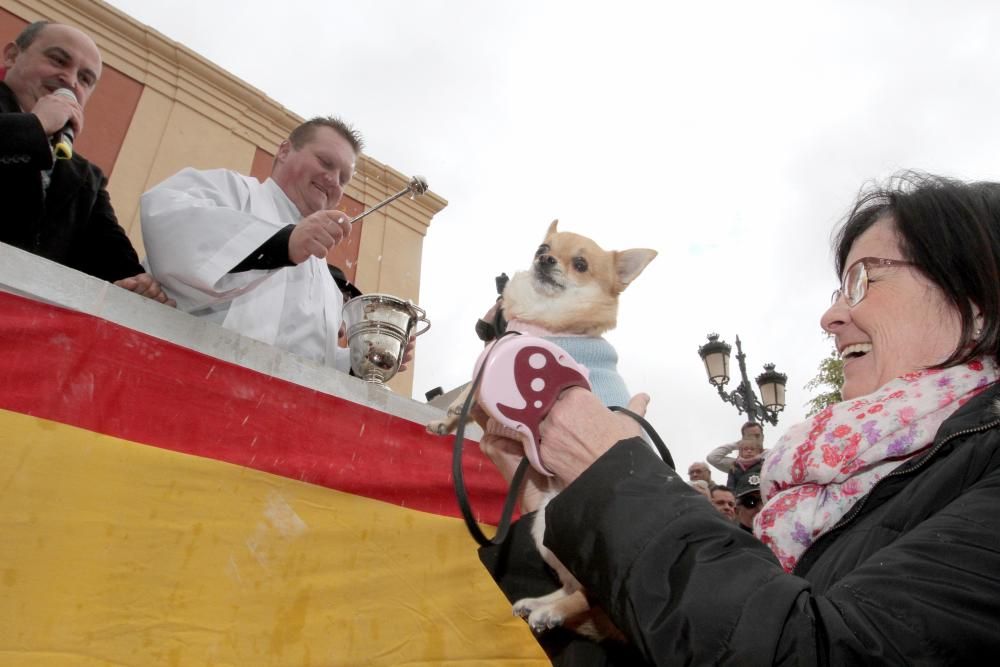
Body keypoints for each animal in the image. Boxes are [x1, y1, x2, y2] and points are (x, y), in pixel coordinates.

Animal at [428, 220, 656, 640]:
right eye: (542, 248)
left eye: (580, 264)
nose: (545, 260)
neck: (541, 317)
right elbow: (465, 400)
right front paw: (443, 422)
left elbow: (467, 393)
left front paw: (450, 413)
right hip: (546, 527)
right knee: (573, 585)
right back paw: (540, 603)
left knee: (588, 595)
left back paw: (553, 613)